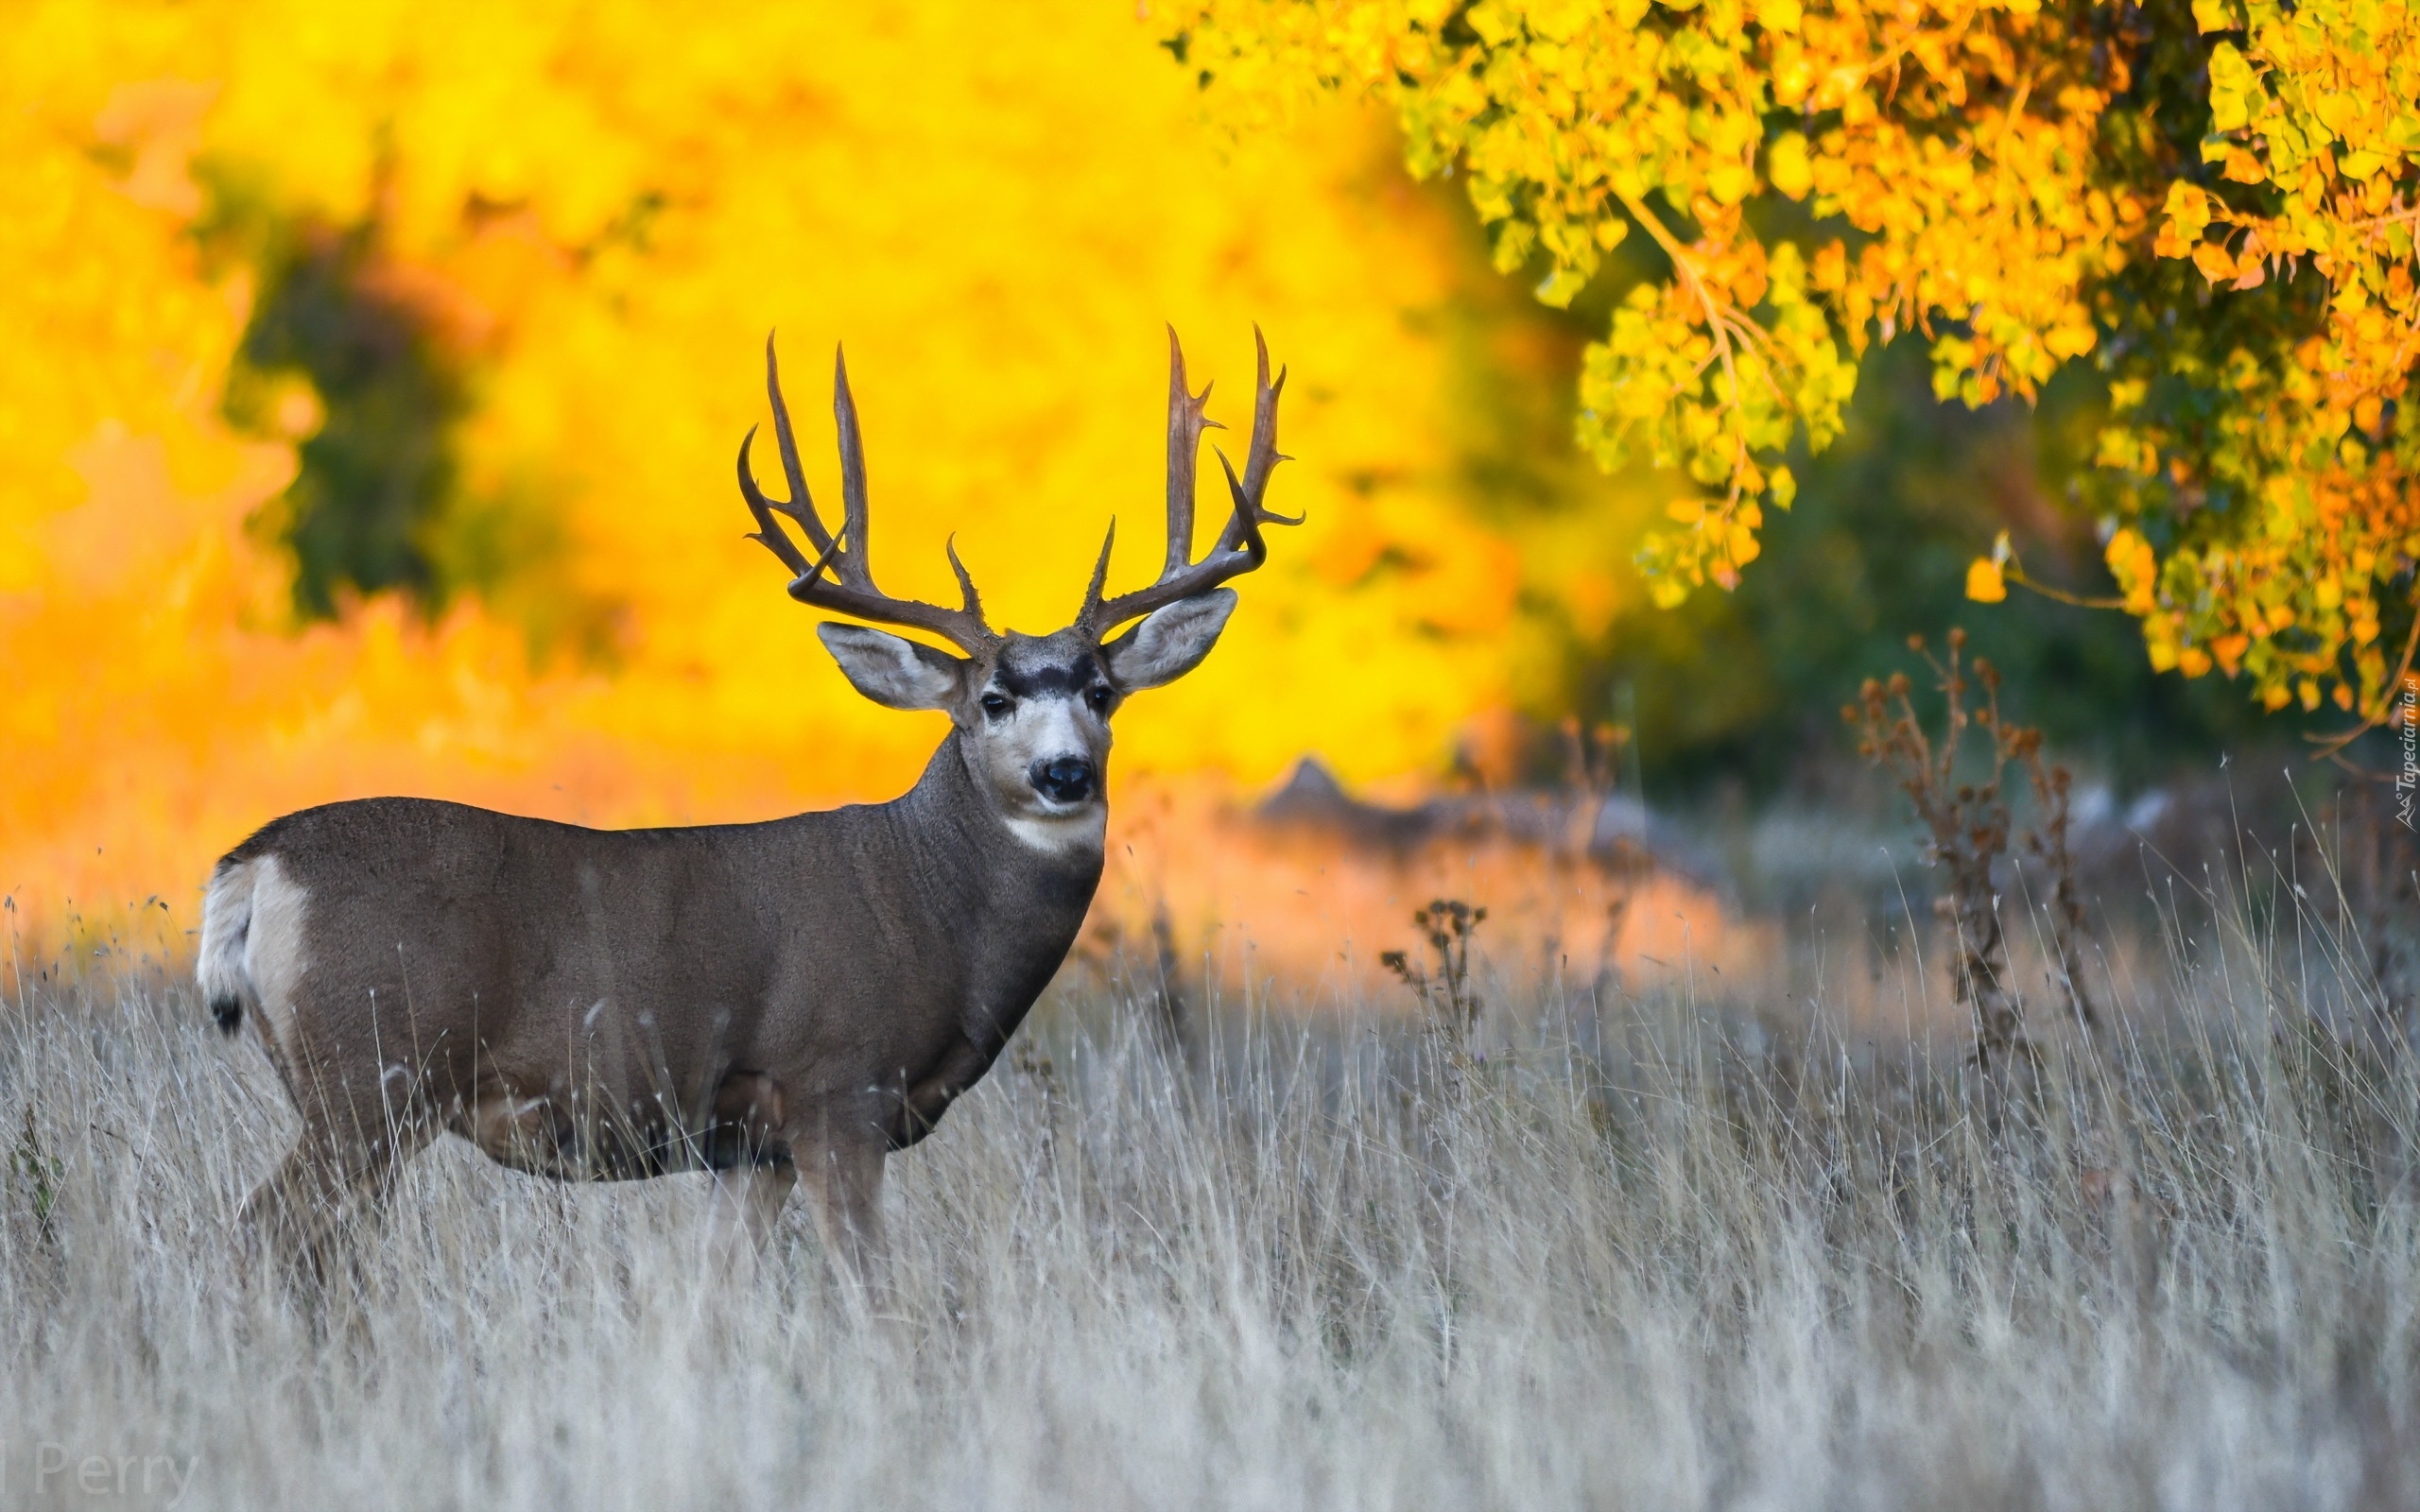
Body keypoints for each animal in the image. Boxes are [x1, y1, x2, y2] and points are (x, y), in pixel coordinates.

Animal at [196, 324, 1297, 1286]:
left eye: (1103, 694)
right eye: (991, 699)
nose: (1066, 771)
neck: (930, 906)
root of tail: (257, 860)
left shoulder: (746, 1144)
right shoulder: (836, 1087)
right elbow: (872, 1289)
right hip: (369, 1076)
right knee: (262, 1233)